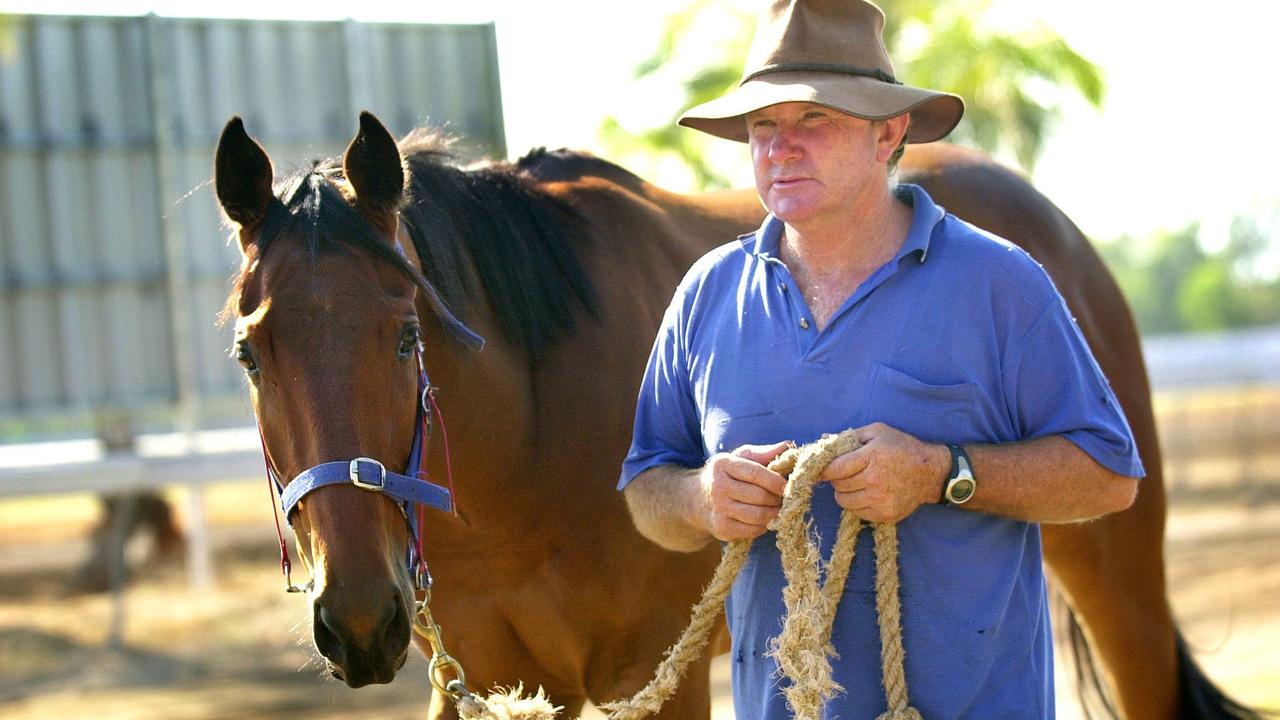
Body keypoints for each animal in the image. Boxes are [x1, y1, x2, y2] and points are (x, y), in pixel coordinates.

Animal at [215, 113, 1254, 717]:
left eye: (404, 336)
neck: (530, 445)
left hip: (1120, 575)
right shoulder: (482, 684)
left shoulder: (655, 679)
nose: (357, 618)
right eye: (249, 354)